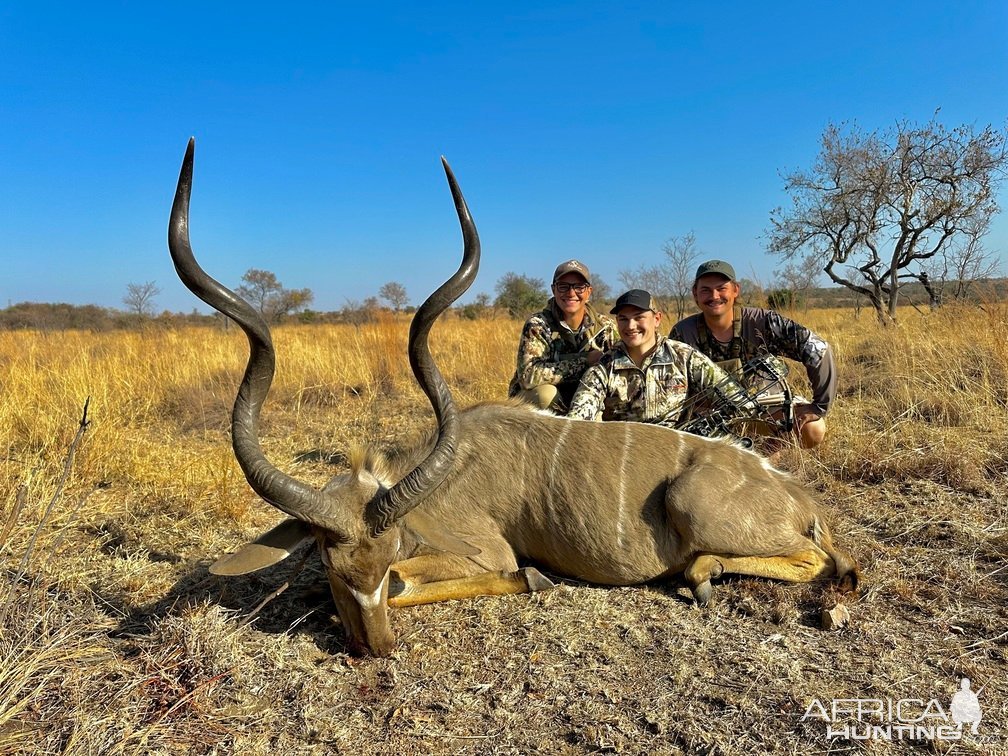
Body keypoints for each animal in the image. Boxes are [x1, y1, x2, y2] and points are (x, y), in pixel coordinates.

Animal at [167, 141, 858, 657]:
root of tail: (799, 496)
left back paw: (705, 574)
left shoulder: (482, 550)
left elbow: (469, 577)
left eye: (384, 564)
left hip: (700, 507)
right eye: (335, 570)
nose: (377, 649)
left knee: (818, 562)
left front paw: (532, 577)